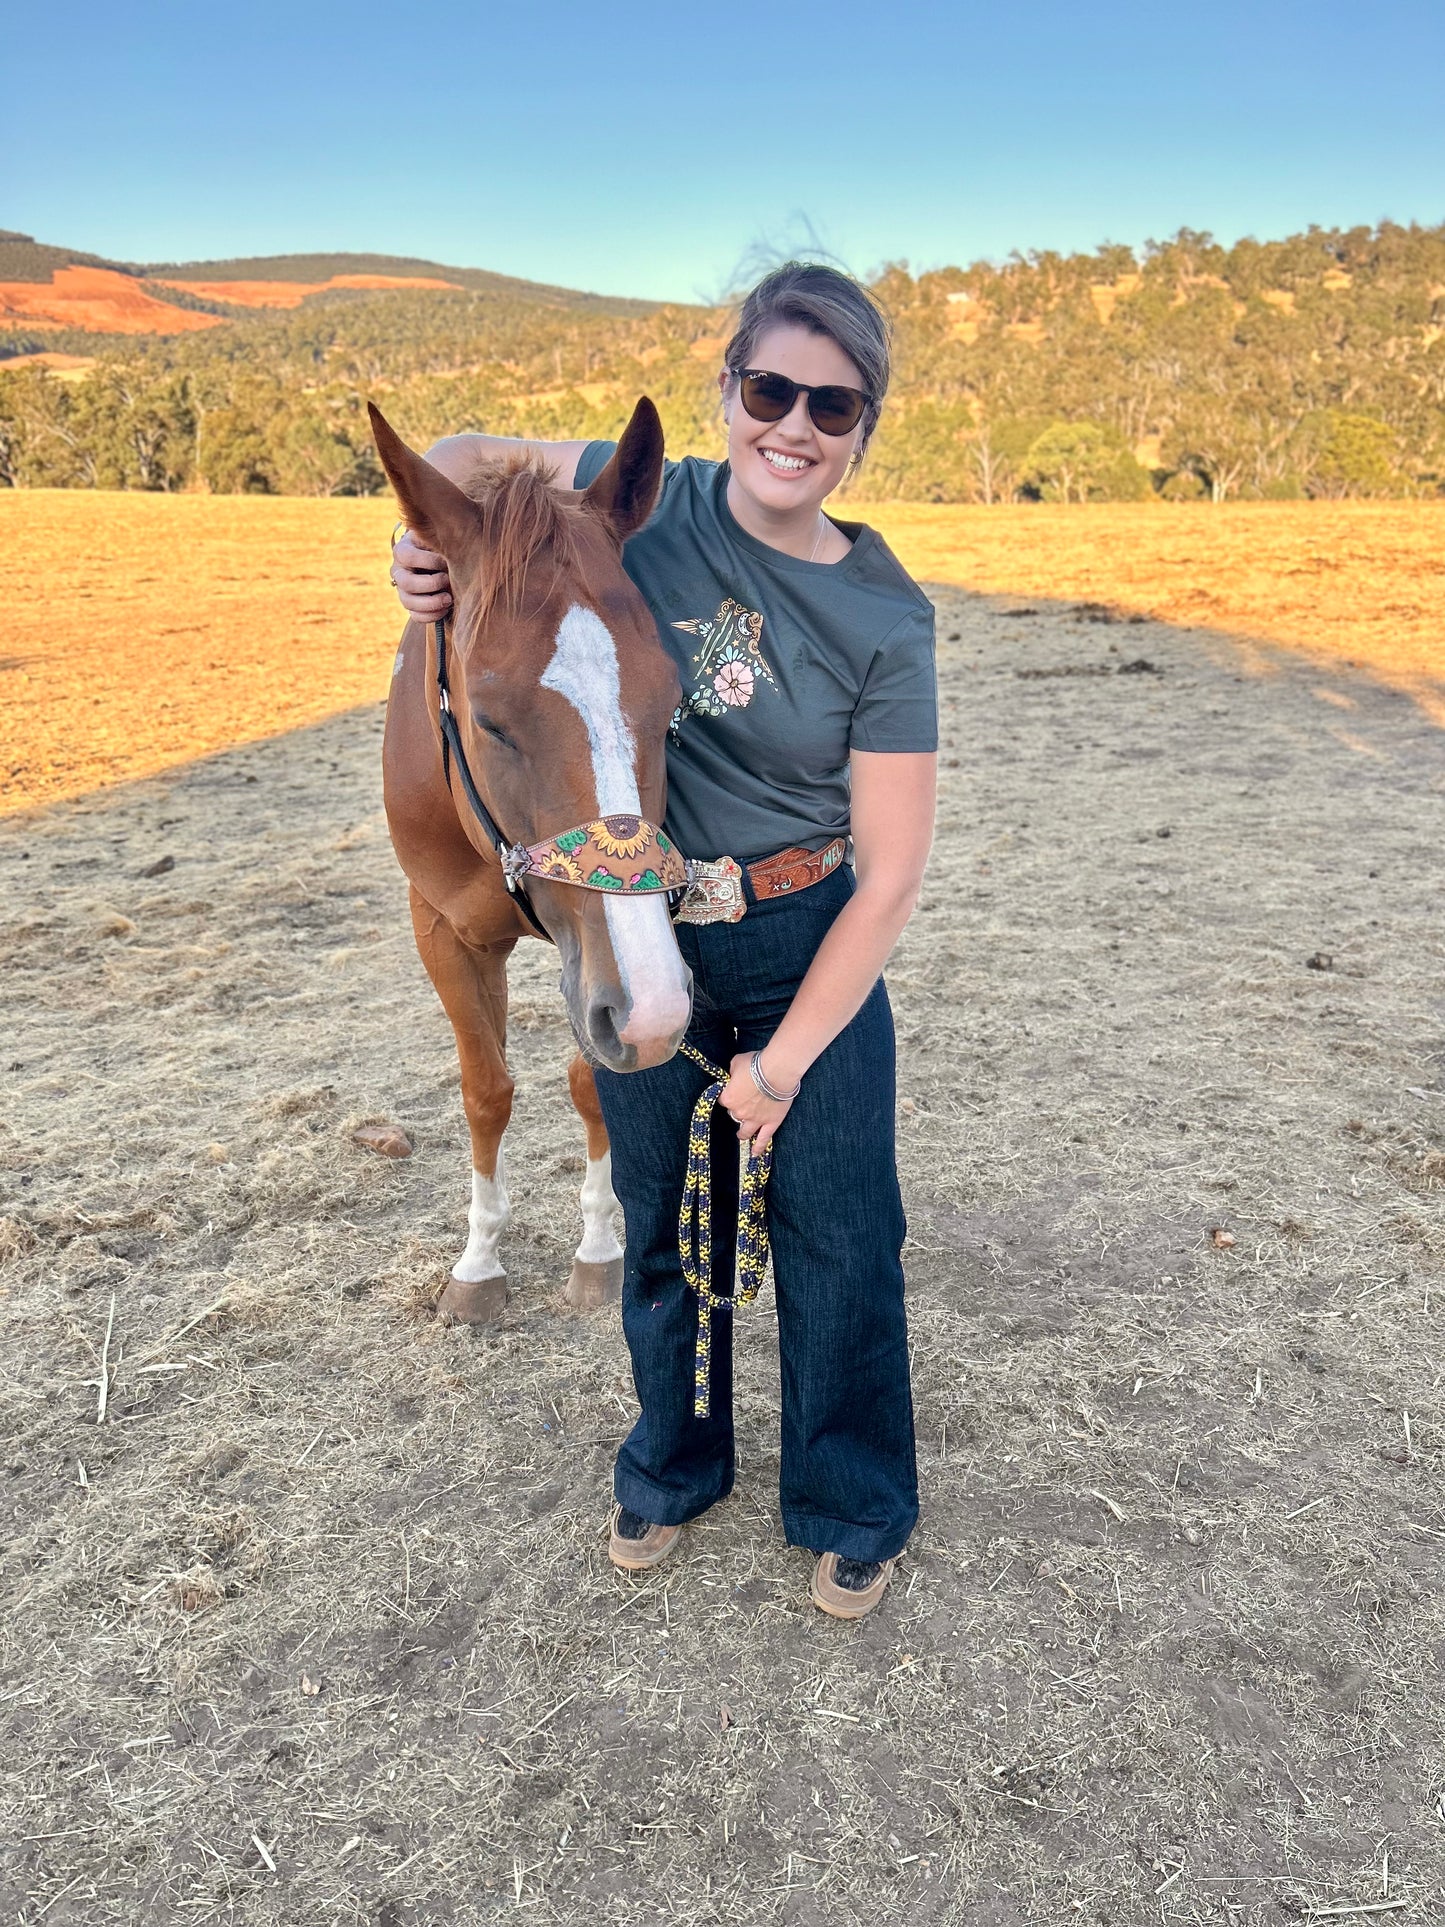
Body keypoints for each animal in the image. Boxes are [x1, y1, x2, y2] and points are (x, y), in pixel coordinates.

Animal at [367, 391, 697, 1325]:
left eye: (671, 704)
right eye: (488, 720)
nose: (656, 1012)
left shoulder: (610, 967)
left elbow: (592, 1083)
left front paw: (599, 1250)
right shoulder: (443, 931)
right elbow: (487, 1091)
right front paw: (478, 1262)